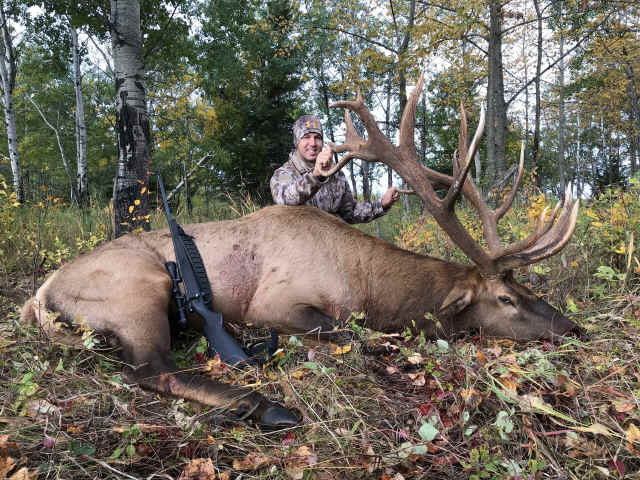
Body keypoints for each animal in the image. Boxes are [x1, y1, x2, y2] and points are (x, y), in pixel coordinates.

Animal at [20, 74, 582, 429]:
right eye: (506, 299)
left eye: (524, 287)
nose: (572, 328)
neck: (365, 283)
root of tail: (38, 297)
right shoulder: (273, 302)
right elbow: (351, 335)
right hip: (140, 289)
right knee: (148, 369)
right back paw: (266, 408)